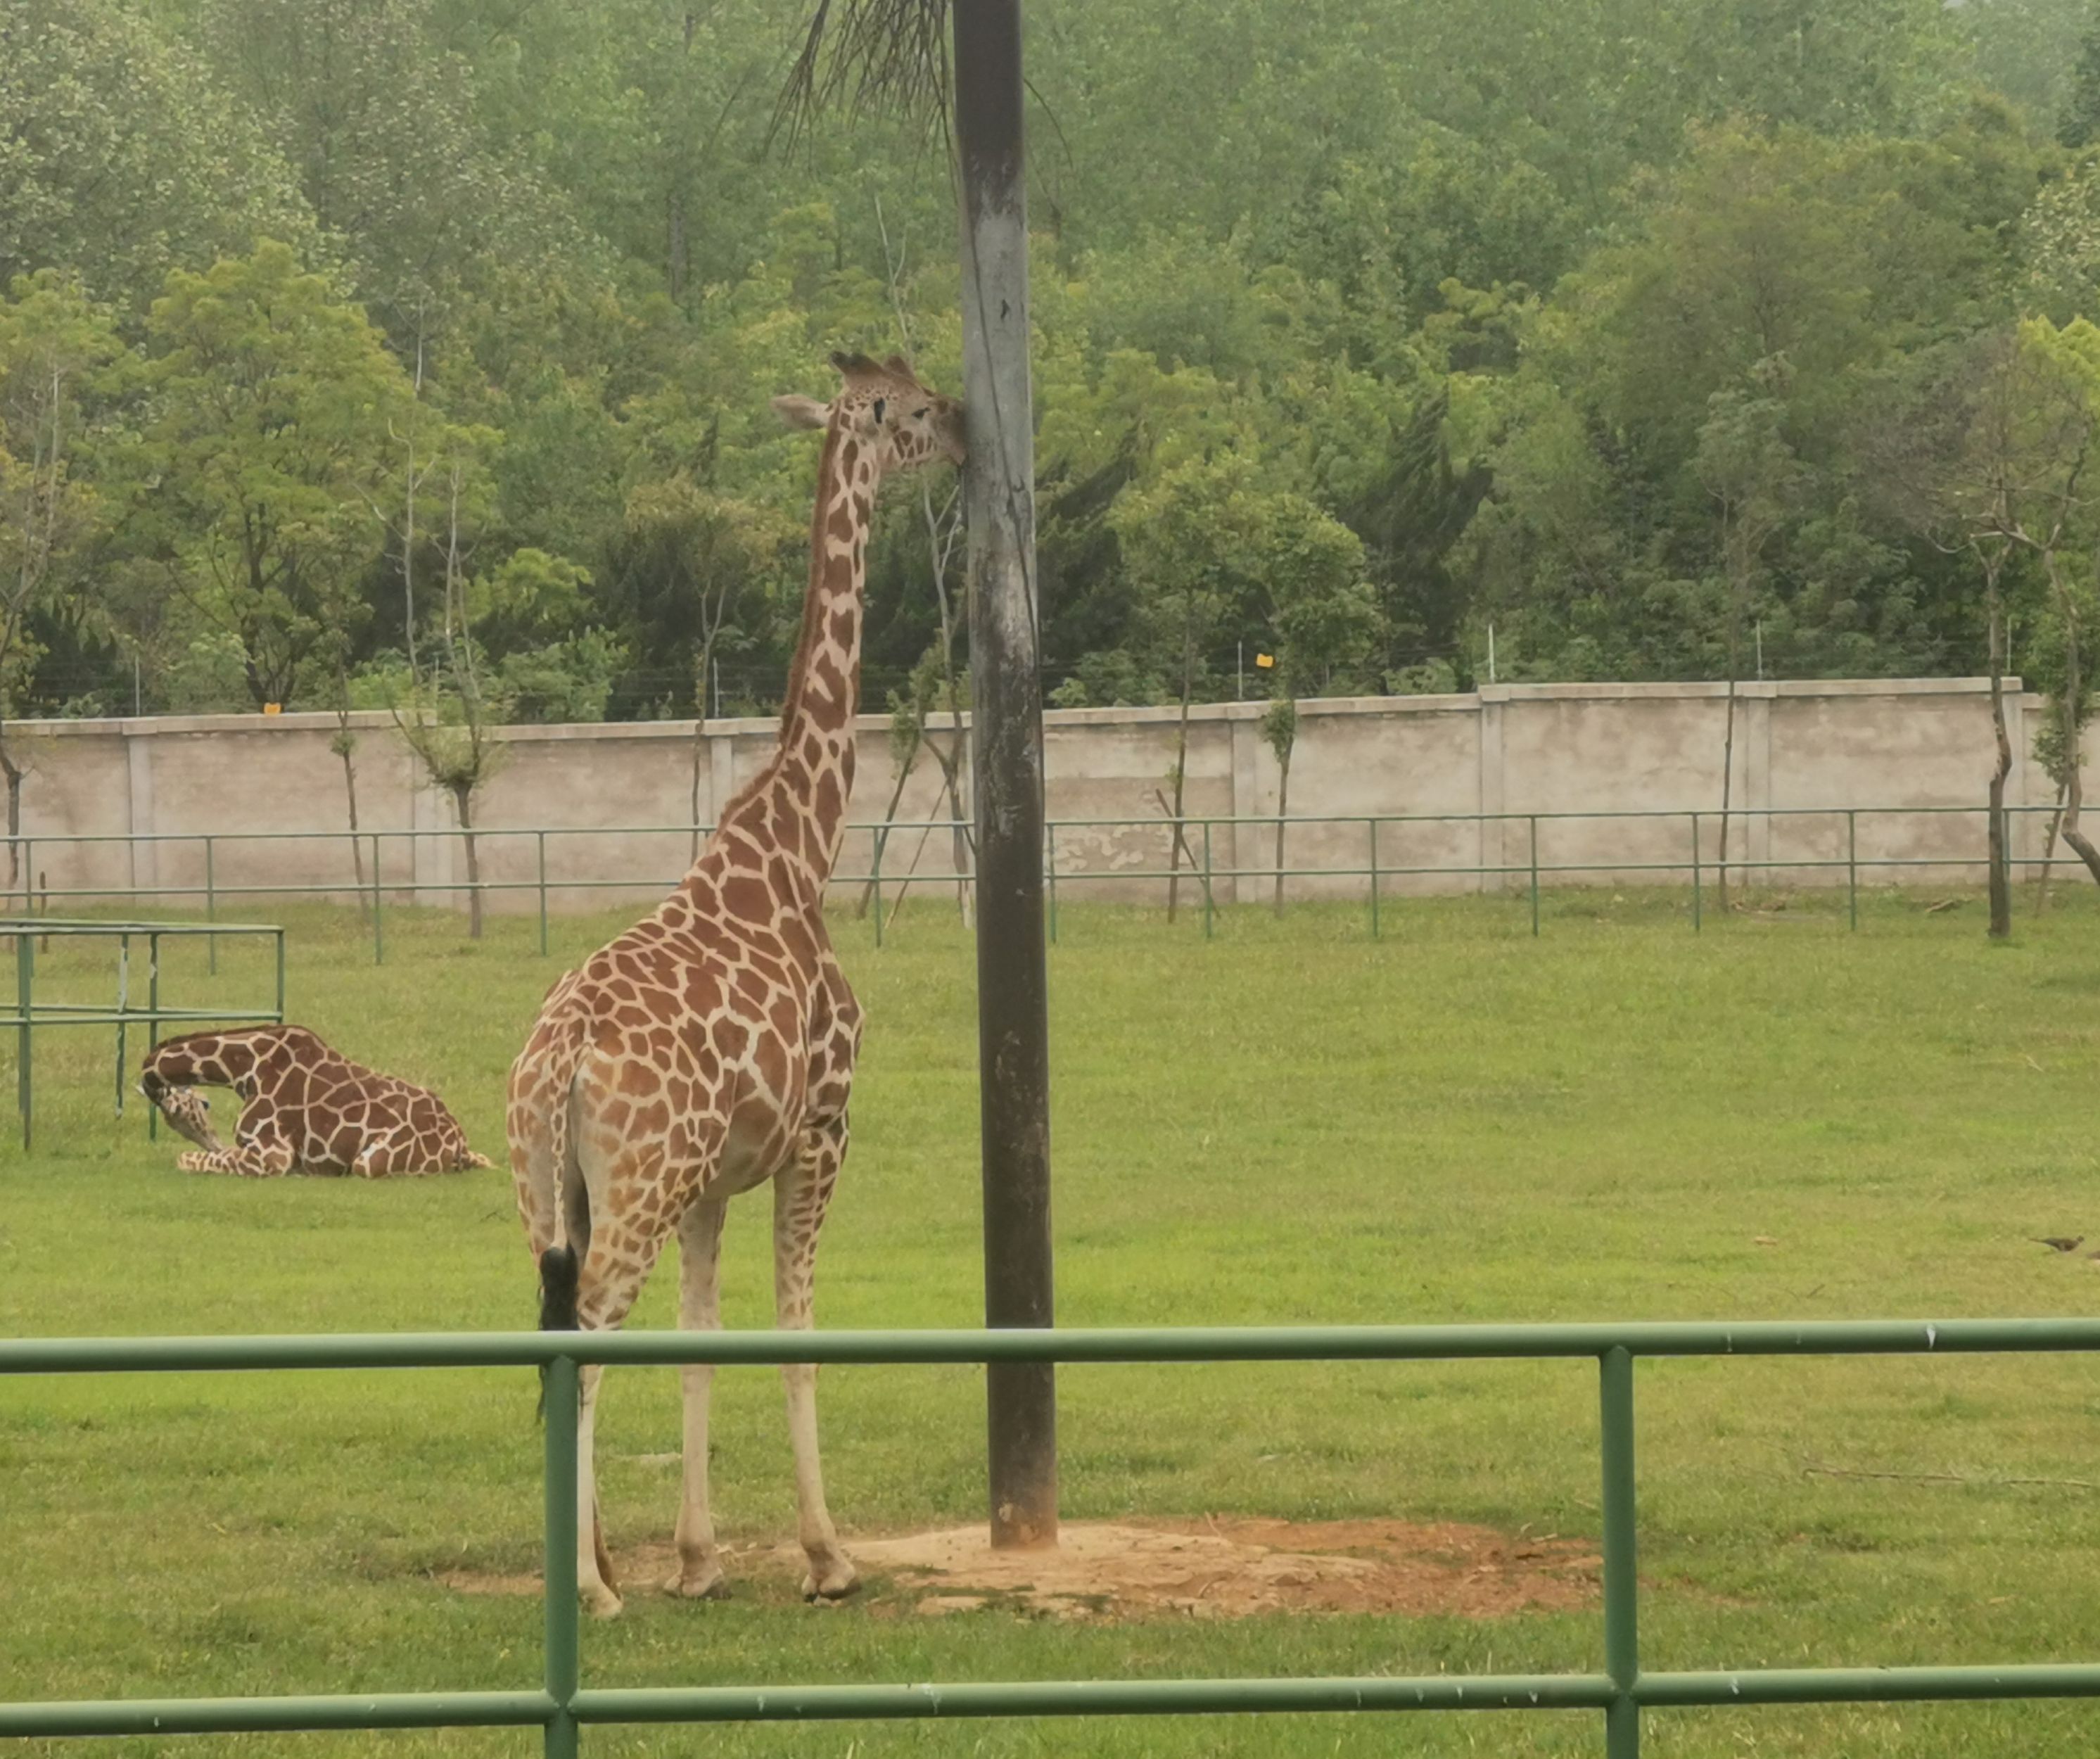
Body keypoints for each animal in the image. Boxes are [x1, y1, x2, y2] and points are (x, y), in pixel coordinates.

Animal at [139, 1024, 491, 1175]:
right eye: (177, 1122)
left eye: (193, 1111)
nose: (213, 1143)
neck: (245, 1069)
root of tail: (459, 1143)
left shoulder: (272, 1154)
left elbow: (184, 1159)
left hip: (369, 1162)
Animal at [508, 350, 966, 1620]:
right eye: (913, 409)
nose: (968, 433)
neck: (800, 847)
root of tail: (558, 1062)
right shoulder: (824, 1130)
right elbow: (796, 1329)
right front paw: (827, 1558)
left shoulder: (716, 1183)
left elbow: (702, 1340)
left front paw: (701, 1557)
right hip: (637, 1186)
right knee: (585, 1342)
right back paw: (592, 1591)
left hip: (547, 1195)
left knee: (550, 1332)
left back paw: (599, 1566)